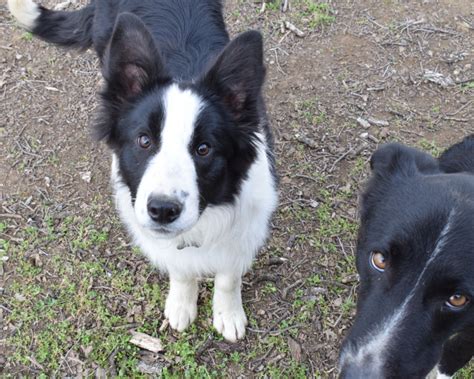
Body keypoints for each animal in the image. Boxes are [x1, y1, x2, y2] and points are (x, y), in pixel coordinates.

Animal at [8, 0, 278, 342]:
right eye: (144, 141)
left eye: (204, 148)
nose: (162, 210)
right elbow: (180, 269)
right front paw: (182, 304)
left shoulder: (245, 227)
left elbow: (229, 276)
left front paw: (228, 315)